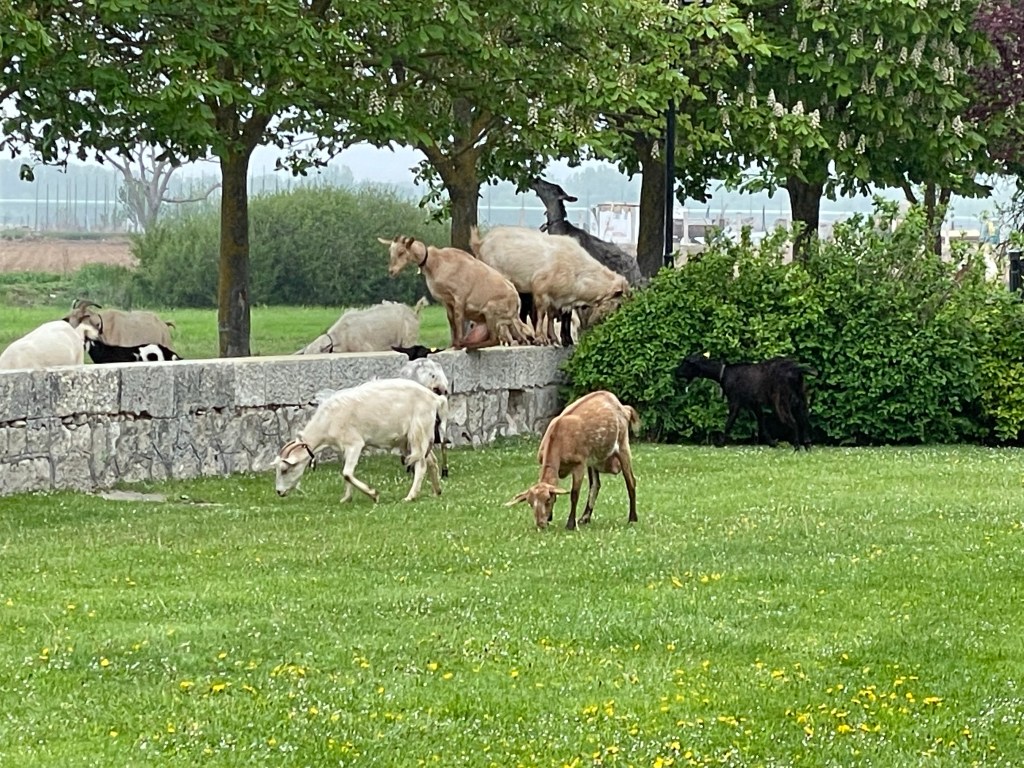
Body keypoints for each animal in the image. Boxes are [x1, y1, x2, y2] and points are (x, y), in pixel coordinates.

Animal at [273, 378, 447, 503]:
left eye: (284, 469)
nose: (279, 492)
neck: (327, 421)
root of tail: (435, 398)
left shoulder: (355, 444)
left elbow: (347, 473)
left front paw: (374, 494)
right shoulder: (345, 448)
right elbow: (346, 472)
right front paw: (346, 498)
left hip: (417, 431)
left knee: (421, 464)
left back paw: (410, 496)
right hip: (417, 437)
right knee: (431, 460)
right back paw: (436, 491)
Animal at [379, 236, 534, 349]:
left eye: (401, 252)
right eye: (390, 252)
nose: (392, 271)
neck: (436, 262)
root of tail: (516, 304)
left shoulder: (459, 296)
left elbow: (459, 319)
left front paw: (458, 344)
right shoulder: (447, 300)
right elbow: (451, 320)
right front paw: (452, 344)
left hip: (490, 310)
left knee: (494, 339)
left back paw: (469, 344)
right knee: (519, 336)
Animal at [470, 226, 629, 345]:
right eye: (619, 303)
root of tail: (480, 243)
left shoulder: (558, 298)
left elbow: (551, 316)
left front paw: (553, 339)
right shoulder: (541, 289)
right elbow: (541, 314)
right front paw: (542, 339)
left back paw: (520, 339)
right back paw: (512, 340)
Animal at [506, 390, 639, 530]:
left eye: (547, 499)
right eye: (531, 503)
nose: (541, 524)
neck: (559, 439)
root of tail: (623, 408)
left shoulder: (579, 463)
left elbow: (574, 493)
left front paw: (570, 524)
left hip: (623, 445)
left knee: (630, 481)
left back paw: (632, 519)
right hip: (593, 459)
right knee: (595, 485)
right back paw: (584, 518)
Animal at [674, 353, 815, 449]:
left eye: (685, 362)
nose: (675, 373)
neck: (723, 372)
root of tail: (796, 369)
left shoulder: (735, 403)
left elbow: (729, 423)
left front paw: (720, 442)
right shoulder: (754, 405)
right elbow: (761, 424)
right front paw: (772, 443)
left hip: (781, 402)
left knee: (794, 422)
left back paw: (796, 447)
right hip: (800, 401)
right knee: (804, 421)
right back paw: (807, 445)